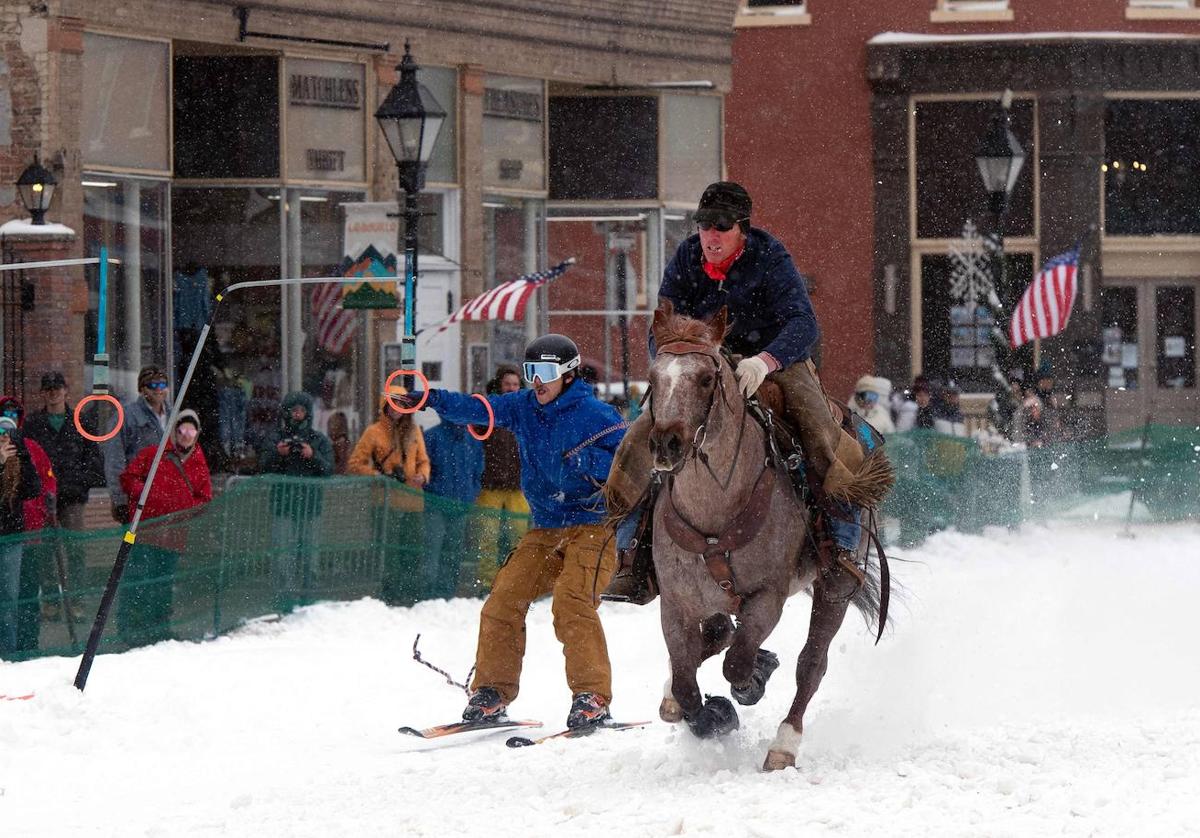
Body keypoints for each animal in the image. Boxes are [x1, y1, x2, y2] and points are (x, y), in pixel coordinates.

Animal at [643, 300, 888, 768]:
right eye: (653, 377)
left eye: (705, 378)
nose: (666, 445)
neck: (716, 508)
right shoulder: (676, 603)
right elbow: (686, 684)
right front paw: (704, 712)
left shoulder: (767, 597)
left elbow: (737, 665)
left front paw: (751, 681)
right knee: (717, 638)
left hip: (834, 588)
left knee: (811, 663)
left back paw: (783, 744)